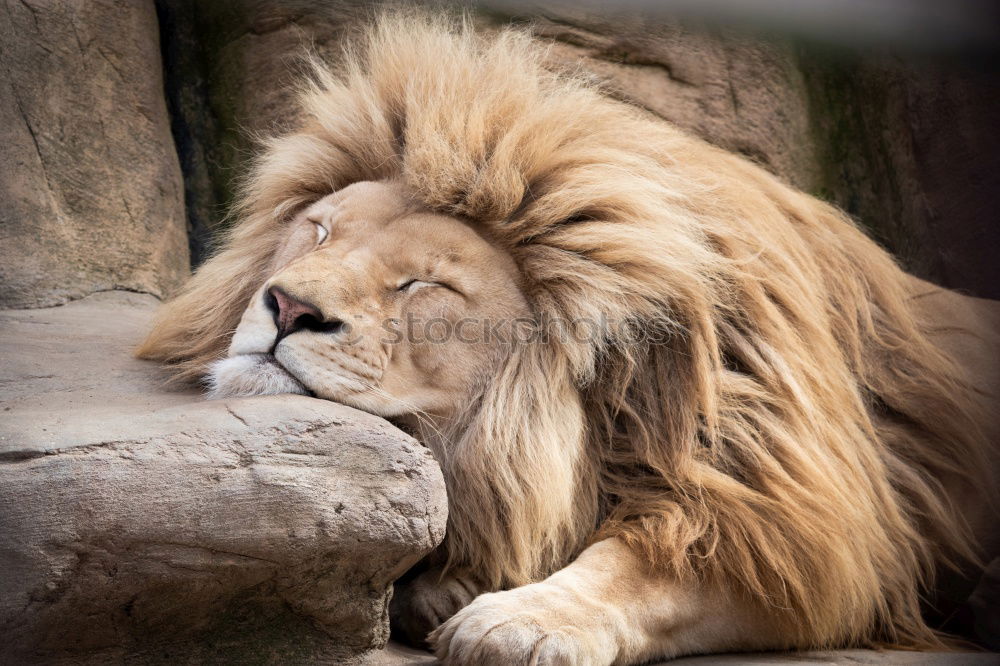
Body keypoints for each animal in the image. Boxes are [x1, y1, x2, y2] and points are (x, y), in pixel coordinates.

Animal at [141, 11, 1000, 664]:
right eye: (318, 230)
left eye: (422, 284)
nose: (287, 307)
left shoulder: (799, 523)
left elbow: (639, 568)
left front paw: (517, 619)